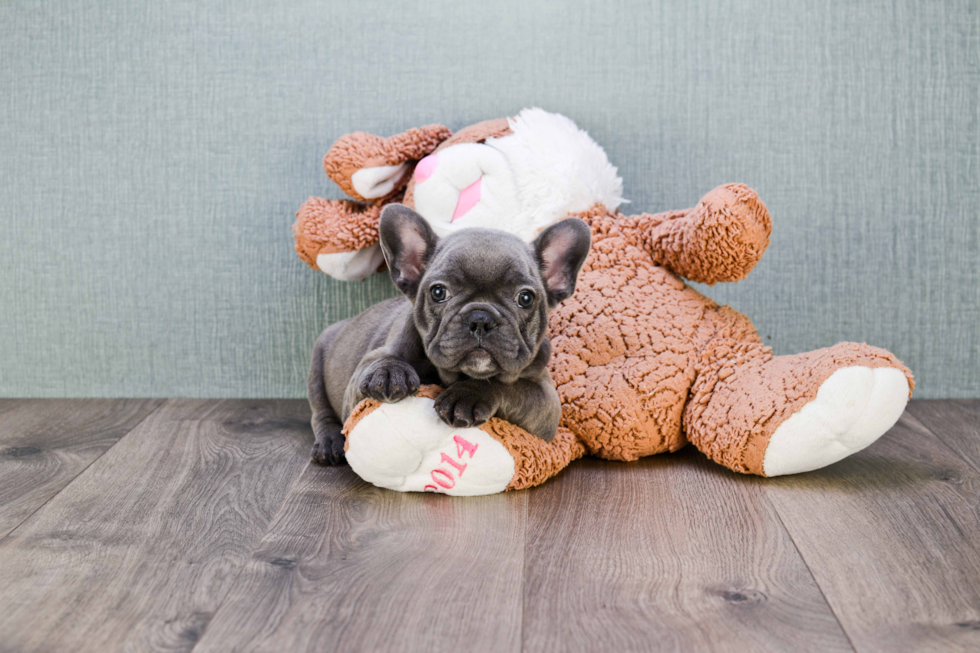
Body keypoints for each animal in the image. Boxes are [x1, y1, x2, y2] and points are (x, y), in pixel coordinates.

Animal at [306, 204, 588, 464]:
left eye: (526, 298)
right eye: (438, 292)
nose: (481, 319)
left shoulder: (546, 403)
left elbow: (511, 387)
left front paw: (469, 394)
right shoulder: (358, 386)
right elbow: (379, 361)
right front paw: (387, 372)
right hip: (318, 360)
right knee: (321, 413)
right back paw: (329, 442)